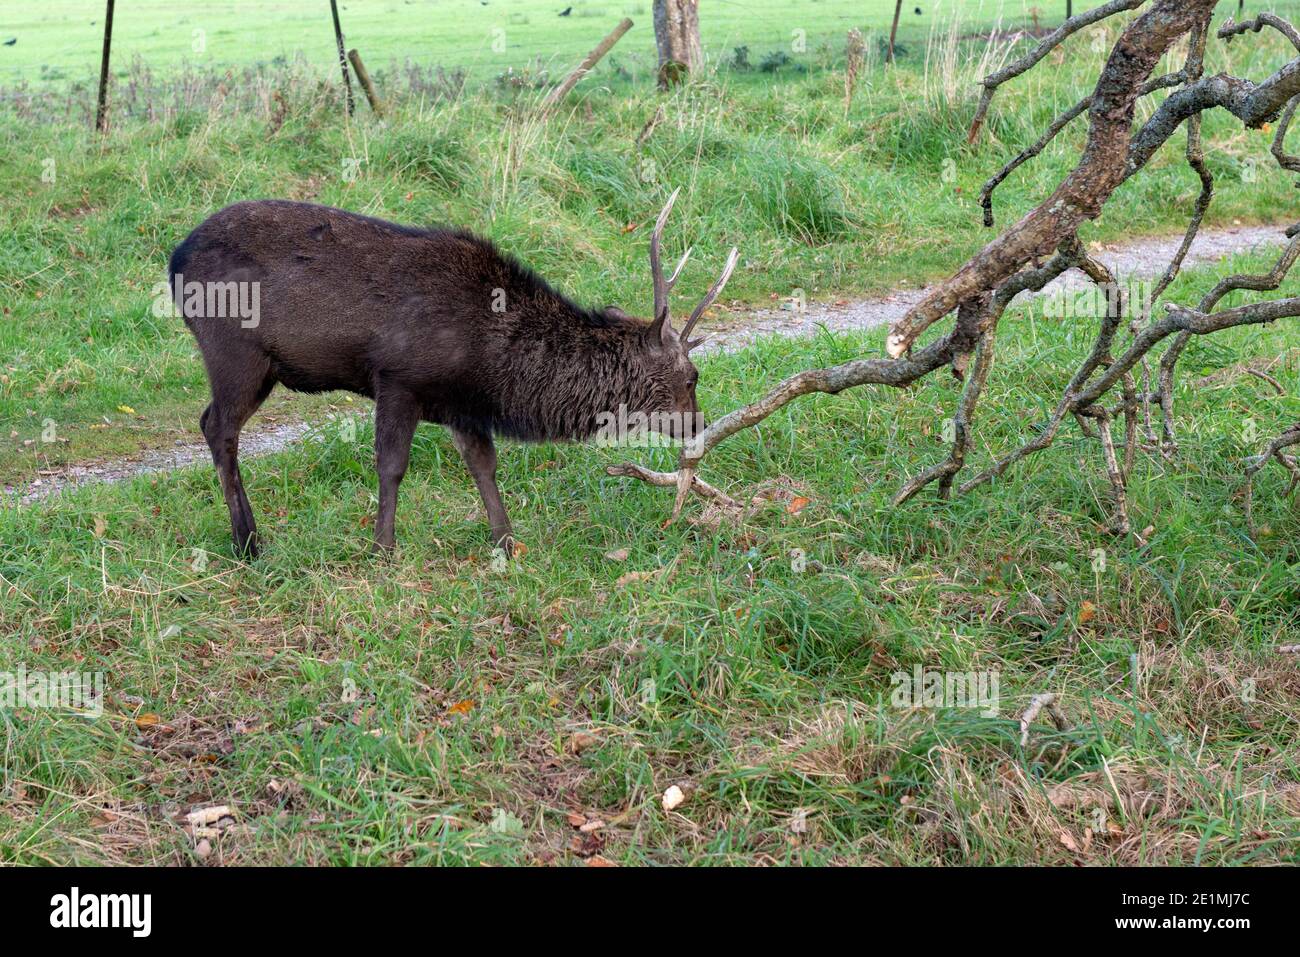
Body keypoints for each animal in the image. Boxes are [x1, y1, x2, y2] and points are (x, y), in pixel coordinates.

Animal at [171, 191, 738, 556]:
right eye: (692, 377)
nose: (697, 426)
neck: (491, 358)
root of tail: (173, 262)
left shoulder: (462, 403)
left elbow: (483, 465)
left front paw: (506, 541)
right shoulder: (397, 378)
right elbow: (392, 465)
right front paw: (382, 548)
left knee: (210, 423)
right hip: (235, 352)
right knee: (217, 428)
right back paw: (248, 542)